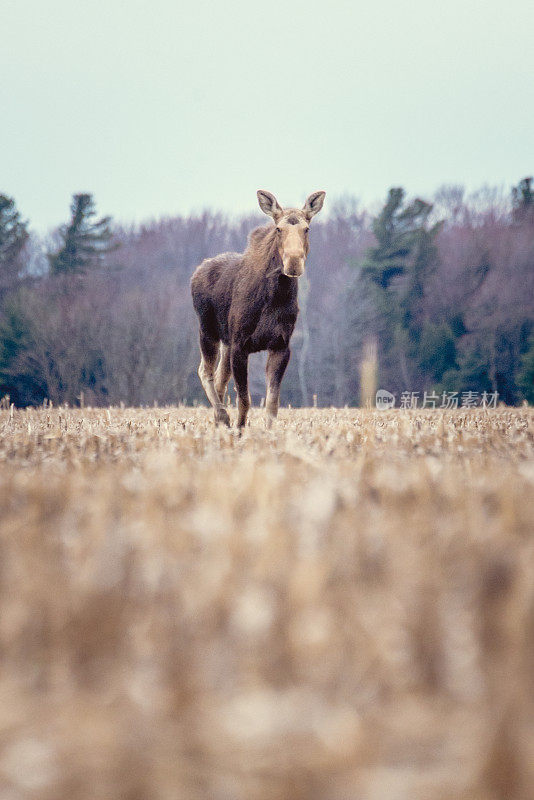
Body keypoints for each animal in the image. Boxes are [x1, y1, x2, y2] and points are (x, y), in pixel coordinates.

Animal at [193, 191, 326, 428]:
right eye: (278, 228)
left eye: (307, 229)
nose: (293, 262)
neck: (275, 296)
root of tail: (197, 272)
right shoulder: (240, 345)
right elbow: (244, 400)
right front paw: (239, 430)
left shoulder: (280, 346)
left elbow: (272, 403)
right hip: (207, 331)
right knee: (205, 371)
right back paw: (222, 417)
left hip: (225, 341)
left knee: (219, 379)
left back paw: (219, 422)